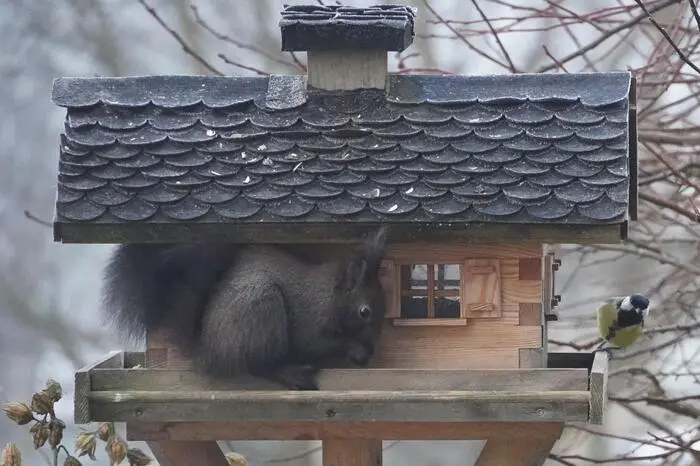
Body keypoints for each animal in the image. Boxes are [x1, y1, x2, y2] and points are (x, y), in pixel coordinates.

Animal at [101, 226, 389, 390]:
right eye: (365, 312)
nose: (373, 345)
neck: (328, 295)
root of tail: (209, 352)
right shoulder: (309, 321)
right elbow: (318, 343)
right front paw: (357, 350)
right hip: (261, 309)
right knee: (257, 365)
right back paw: (291, 374)